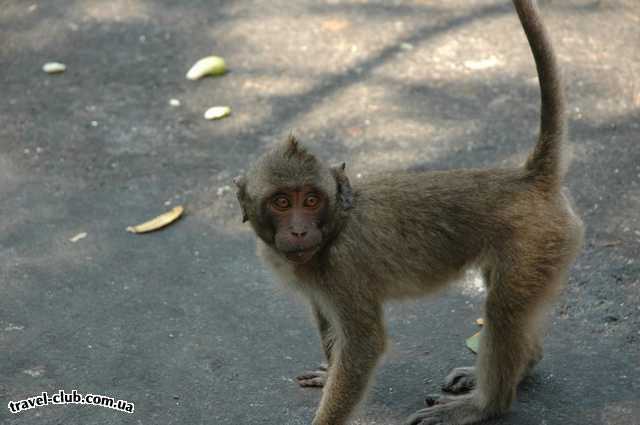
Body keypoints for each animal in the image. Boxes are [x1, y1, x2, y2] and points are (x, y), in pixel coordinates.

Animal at [232, 1, 584, 422]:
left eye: (311, 200)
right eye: (282, 202)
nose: (299, 230)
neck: (335, 225)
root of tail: (529, 177)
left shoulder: (343, 270)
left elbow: (364, 346)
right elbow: (327, 322)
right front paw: (330, 371)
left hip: (537, 242)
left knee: (503, 310)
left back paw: (484, 405)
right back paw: (523, 366)